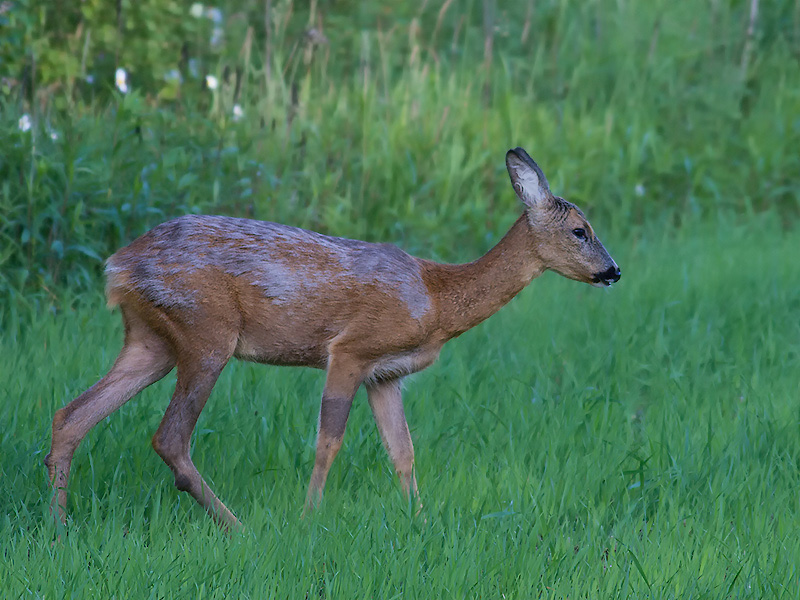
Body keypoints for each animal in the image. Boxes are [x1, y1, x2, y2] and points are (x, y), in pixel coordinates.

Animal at [45, 149, 620, 528]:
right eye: (581, 231)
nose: (613, 271)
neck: (437, 299)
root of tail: (117, 266)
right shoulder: (350, 349)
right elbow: (328, 442)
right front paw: (309, 517)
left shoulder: (386, 375)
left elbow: (402, 450)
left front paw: (420, 518)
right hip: (206, 333)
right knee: (169, 437)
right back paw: (237, 526)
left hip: (151, 341)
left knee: (72, 414)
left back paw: (59, 527)